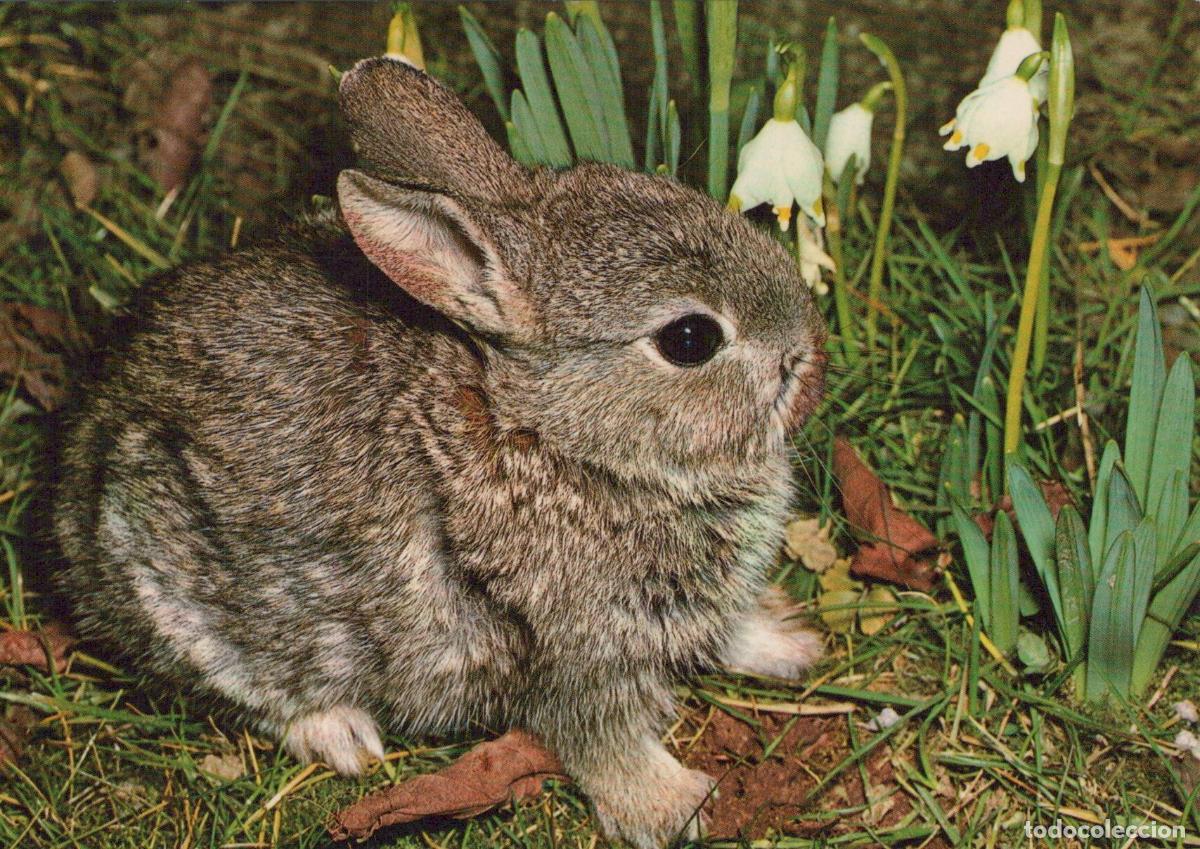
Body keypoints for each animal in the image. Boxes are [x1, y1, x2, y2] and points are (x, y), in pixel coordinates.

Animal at [53, 57, 826, 848]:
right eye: (690, 339)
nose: (807, 357)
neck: (548, 435)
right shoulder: (576, 655)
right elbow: (602, 741)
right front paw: (673, 805)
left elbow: (726, 631)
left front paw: (787, 640)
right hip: (179, 585)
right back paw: (341, 733)